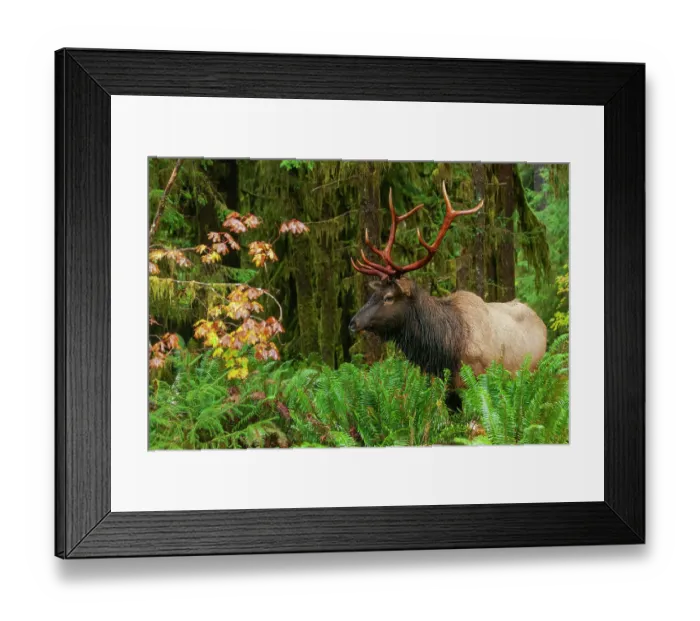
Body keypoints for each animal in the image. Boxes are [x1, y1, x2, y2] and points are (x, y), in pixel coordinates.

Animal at [349, 181, 547, 394]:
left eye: (388, 297)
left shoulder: (475, 382)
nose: (353, 322)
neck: (445, 351)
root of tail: (542, 324)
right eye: (373, 294)